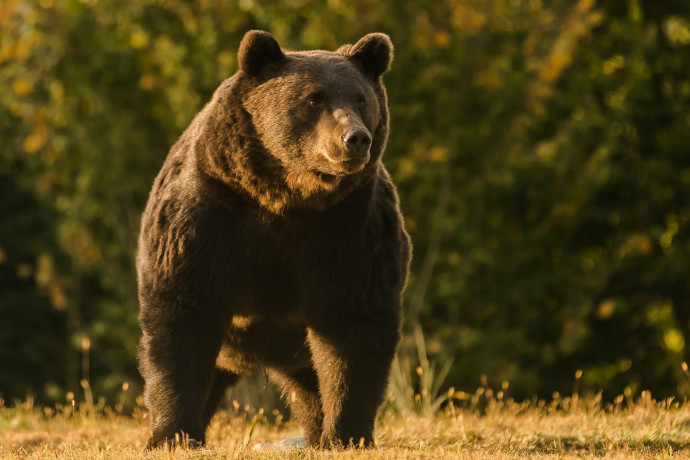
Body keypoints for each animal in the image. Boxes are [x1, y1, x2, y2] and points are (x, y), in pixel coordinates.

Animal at [137, 29, 412, 450]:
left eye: (360, 98)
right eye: (314, 98)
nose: (356, 138)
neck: (286, 197)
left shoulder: (350, 228)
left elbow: (353, 325)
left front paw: (346, 434)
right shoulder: (207, 215)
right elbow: (181, 314)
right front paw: (173, 434)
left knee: (311, 385)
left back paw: (316, 433)